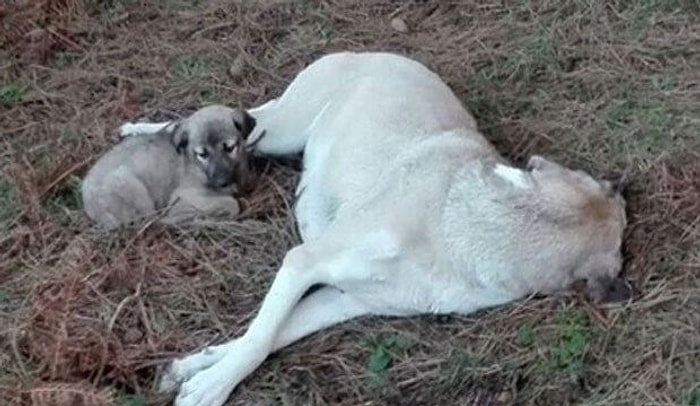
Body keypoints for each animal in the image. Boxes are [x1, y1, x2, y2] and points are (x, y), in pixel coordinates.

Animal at [81, 104, 258, 230]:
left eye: (230, 148)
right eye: (202, 154)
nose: (222, 182)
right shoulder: (183, 196)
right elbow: (231, 203)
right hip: (129, 185)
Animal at [117, 54, 632, 406]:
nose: (625, 190)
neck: (468, 226)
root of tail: (384, 52)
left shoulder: (345, 300)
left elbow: (268, 335)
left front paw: (197, 367)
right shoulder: (304, 262)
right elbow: (260, 336)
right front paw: (211, 388)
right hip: (275, 131)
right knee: (198, 121)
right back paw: (141, 130)